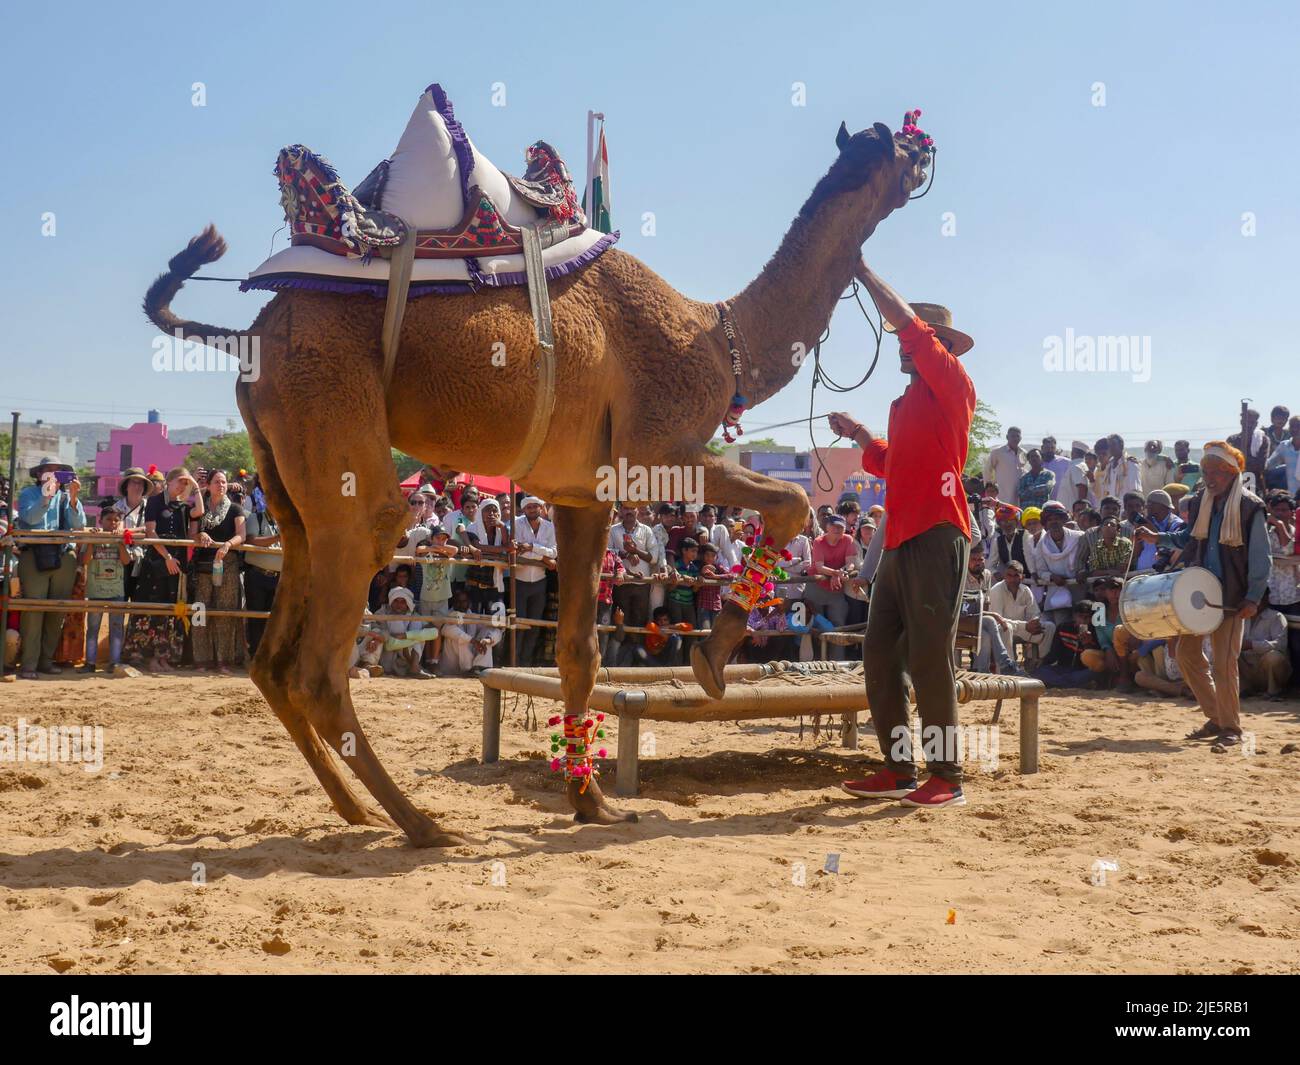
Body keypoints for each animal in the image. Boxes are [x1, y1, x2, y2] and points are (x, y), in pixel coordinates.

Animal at [142, 114, 935, 847]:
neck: (718, 334)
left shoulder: (583, 493)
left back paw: (356, 809)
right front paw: (710, 659)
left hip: (288, 479)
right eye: (899, 144)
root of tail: (246, 334)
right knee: (329, 641)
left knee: (274, 654)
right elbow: (795, 499)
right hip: (336, 431)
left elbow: (578, 651)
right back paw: (425, 825)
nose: (926, 154)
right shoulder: (656, 451)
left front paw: (595, 804)